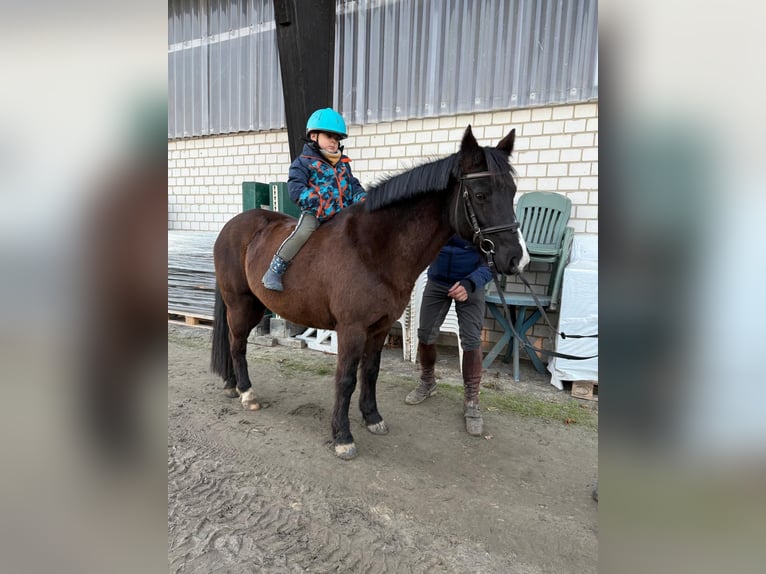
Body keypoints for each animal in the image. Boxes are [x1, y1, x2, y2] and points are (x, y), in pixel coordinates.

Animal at [213, 128, 532, 462]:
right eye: (481, 195)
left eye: (511, 191)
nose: (517, 259)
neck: (371, 249)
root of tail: (233, 225)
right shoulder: (351, 329)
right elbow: (346, 378)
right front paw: (342, 436)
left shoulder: (379, 328)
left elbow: (371, 371)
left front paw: (372, 417)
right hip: (241, 304)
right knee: (237, 344)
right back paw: (247, 392)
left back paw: (233, 386)